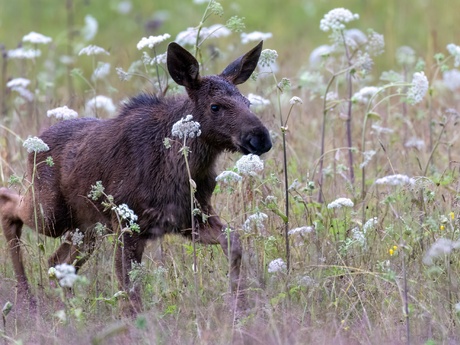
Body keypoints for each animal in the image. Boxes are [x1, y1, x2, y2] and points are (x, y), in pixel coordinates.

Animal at [0, 41, 272, 312]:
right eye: (215, 106)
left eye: (247, 102)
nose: (261, 138)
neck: (185, 169)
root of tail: (34, 143)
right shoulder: (127, 222)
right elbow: (130, 289)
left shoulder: (191, 217)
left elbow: (234, 242)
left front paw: (239, 305)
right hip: (51, 214)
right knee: (10, 205)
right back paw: (26, 297)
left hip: (87, 228)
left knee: (57, 261)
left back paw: (65, 306)